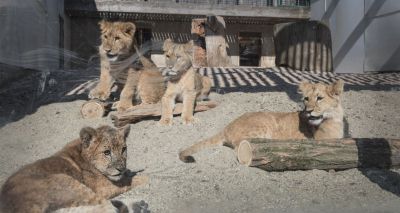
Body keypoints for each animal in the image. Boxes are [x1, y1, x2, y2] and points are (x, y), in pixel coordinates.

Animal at [0, 125, 147, 212]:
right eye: (106, 152)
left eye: (123, 149)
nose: (121, 168)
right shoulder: (102, 188)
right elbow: (128, 182)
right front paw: (143, 177)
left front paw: (129, 172)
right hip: (67, 181)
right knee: (105, 207)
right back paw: (139, 206)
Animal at [180, 79, 346, 162]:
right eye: (306, 98)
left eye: (319, 98)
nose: (308, 110)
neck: (334, 118)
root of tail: (226, 127)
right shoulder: (325, 141)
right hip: (263, 127)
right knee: (242, 147)